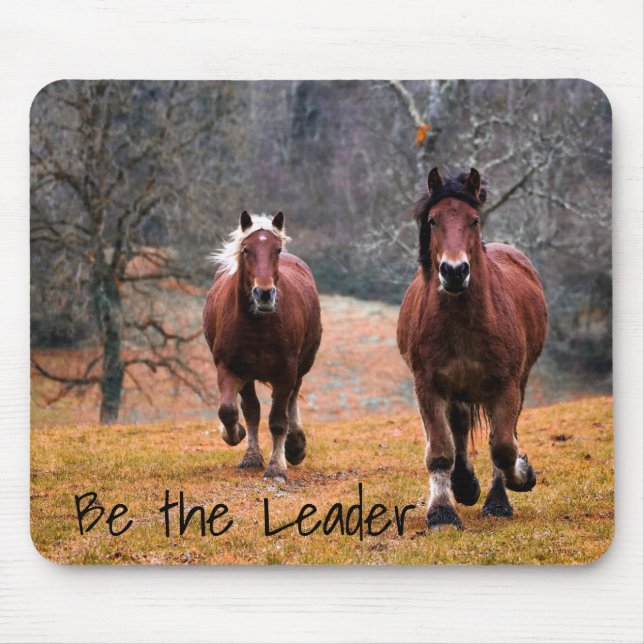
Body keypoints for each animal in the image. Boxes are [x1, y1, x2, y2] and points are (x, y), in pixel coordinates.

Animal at [203, 210, 322, 482]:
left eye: (276, 250)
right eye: (246, 250)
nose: (264, 294)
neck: (257, 325)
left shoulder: (285, 371)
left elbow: (278, 420)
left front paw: (277, 466)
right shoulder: (229, 368)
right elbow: (231, 411)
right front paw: (237, 437)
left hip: (301, 366)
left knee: (291, 400)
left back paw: (295, 446)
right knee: (252, 409)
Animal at [397, 167, 548, 529]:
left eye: (474, 220)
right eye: (433, 220)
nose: (454, 271)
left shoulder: (506, 386)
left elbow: (504, 447)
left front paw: (519, 479)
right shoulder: (428, 386)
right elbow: (441, 450)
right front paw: (442, 511)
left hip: (514, 384)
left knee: (500, 434)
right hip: (457, 390)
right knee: (459, 430)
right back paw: (464, 485)